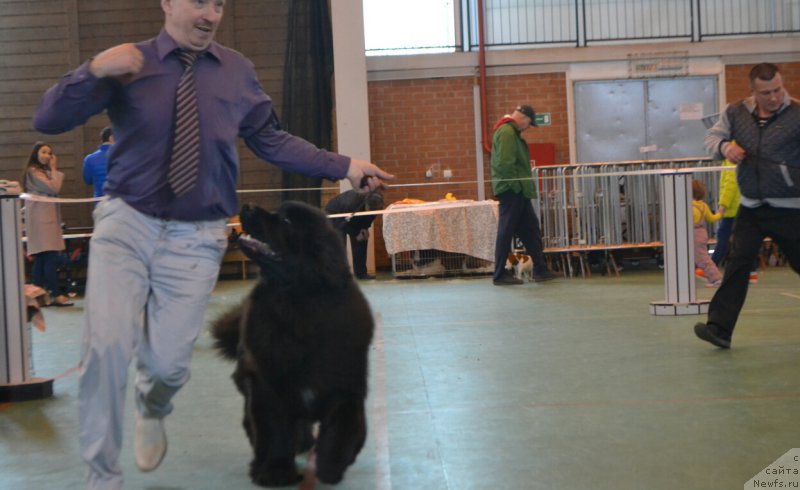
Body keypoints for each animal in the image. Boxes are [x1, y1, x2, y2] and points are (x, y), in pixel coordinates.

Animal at [212, 202, 376, 486]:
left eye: (286, 221)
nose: (247, 206)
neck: (295, 301)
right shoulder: (268, 388)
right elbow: (275, 434)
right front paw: (276, 473)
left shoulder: (345, 388)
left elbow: (342, 431)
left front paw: (330, 467)